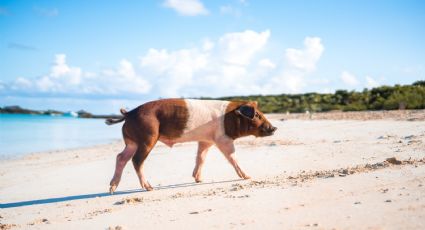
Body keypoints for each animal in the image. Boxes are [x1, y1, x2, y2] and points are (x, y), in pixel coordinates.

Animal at [105, 98, 276, 193]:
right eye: (257, 115)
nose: (274, 128)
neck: (230, 117)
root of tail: (128, 113)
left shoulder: (206, 140)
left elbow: (201, 157)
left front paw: (199, 180)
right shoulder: (223, 139)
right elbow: (233, 157)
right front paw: (248, 176)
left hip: (132, 142)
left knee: (121, 157)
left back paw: (112, 189)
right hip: (147, 138)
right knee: (136, 160)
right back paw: (149, 188)